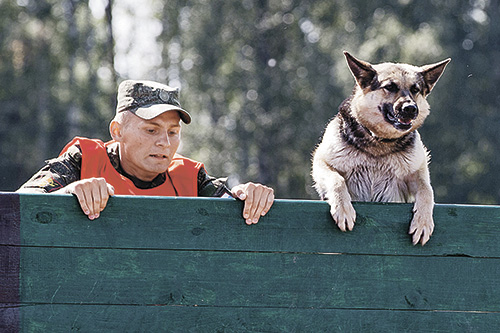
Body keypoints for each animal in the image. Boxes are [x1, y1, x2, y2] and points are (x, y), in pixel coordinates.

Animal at [312, 51, 450, 244]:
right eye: (390, 87)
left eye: (415, 90)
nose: (410, 109)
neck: (380, 142)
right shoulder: (321, 164)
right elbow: (337, 180)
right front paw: (343, 208)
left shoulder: (417, 174)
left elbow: (426, 190)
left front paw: (423, 222)